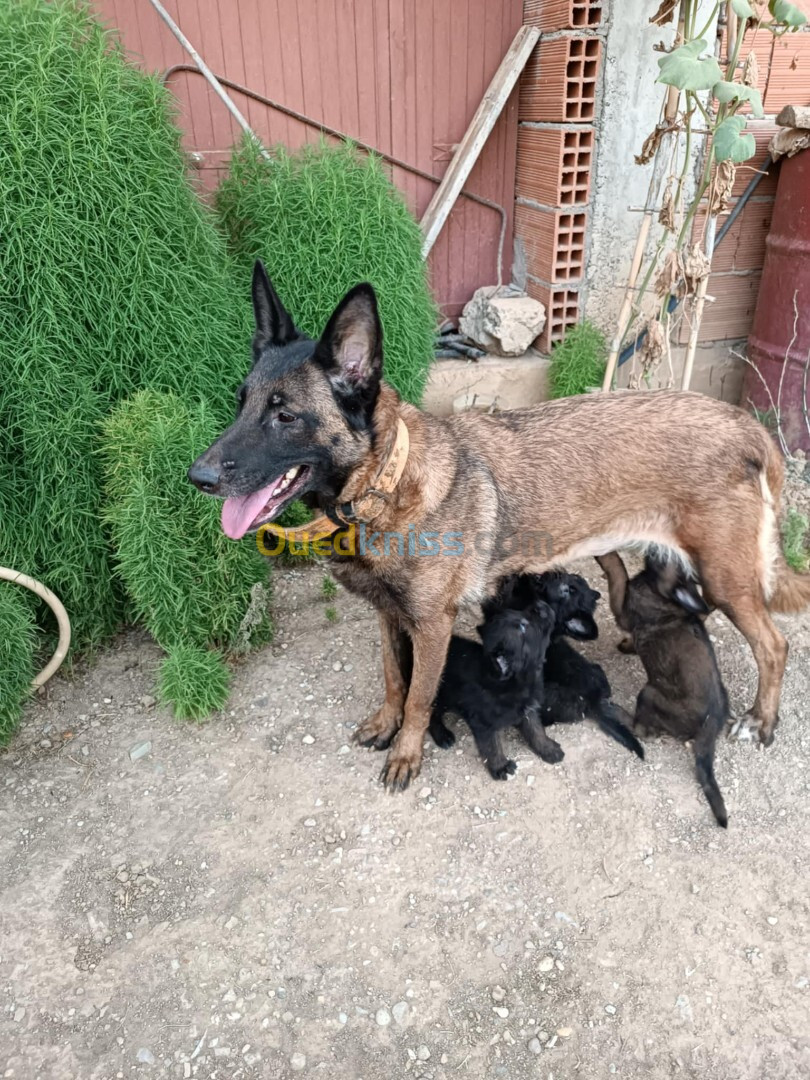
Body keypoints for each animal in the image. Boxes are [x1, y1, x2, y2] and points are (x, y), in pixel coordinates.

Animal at [432, 604, 565, 781]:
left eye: (519, 612)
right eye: (523, 627)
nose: (540, 604)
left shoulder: (528, 711)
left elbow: (537, 731)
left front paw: (548, 749)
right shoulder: (483, 723)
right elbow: (492, 747)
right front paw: (500, 766)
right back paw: (442, 735)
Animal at [604, 552, 730, 829]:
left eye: (666, 561)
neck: (660, 592)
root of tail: (711, 722)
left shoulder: (623, 611)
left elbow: (618, 575)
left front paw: (607, 557)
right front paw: (627, 646)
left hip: (649, 693)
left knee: (643, 731)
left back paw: (619, 713)